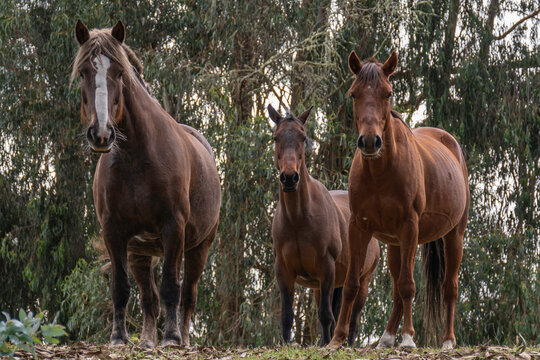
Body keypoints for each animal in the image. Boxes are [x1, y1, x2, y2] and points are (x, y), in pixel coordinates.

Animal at [70, 21, 220, 348]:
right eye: (84, 72)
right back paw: (148, 341)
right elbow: (121, 288)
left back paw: (183, 339)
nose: (101, 135)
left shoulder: (173, 227)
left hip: (200, 246)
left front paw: (172, 338)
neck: (135, 157)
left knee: (188, 294)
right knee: (148, 298)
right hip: (140, 251)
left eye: (119, 73)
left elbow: (171, 286)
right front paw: (118, 338)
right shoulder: (114, 232)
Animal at [266, 105, 378, 346]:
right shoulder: (284, 270)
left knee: (353, 320)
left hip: (362, 280)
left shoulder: (327, 267)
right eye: (276, 137)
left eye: (302, 137)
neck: (298, 219)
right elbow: (287, 315)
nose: (289, 178)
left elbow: (326, 315)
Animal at [326, 50, 470, 348]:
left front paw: (408, 339)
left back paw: (447, 340)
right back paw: (387, 336)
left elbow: (407, 285)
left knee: (449, 287)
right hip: (394, 243)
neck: (381, 172)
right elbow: (351, 284)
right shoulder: (358, 226)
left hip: (454, 235)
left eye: (388, 93)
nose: (370, 142)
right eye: (354, 94)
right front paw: (337, 339)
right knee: (395, 290)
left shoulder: (409, 226)